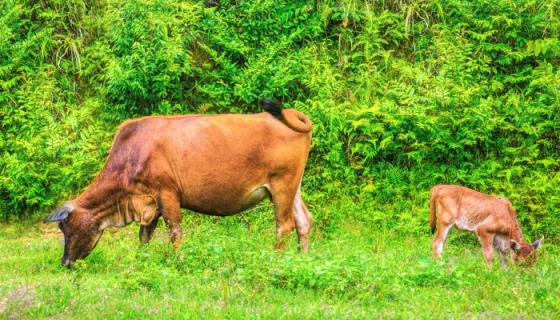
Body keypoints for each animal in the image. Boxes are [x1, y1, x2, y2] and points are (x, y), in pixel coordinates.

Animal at [43, 100, 312, 268]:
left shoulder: (167, 193)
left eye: (65, 228)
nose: (65, 262)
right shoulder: (150, 203)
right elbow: (144, 235)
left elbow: (174, 231)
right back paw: (303, 259)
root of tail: (291, 113)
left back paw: (276, 260)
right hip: (293, 187)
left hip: (281, 184)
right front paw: (142, 260)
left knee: (284, 225)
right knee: (303, 221)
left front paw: (178, 260)